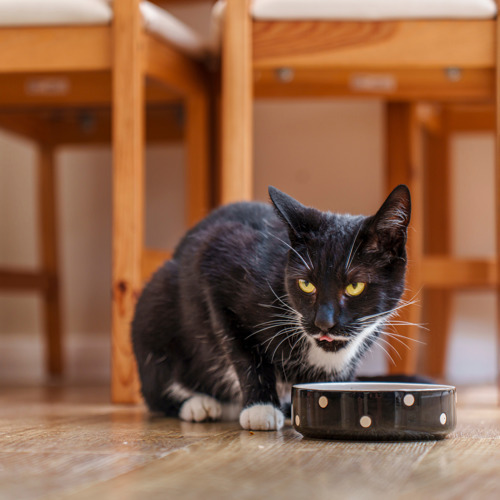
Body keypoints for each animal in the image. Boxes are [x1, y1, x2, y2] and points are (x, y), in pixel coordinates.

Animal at [132, 186, 410, 432]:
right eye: (306, 284)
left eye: (354, 286)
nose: (323, 322)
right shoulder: (216, 259)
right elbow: (242, 350)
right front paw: (260, 408)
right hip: (155, 305)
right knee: (157, 385)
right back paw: (199, 404)